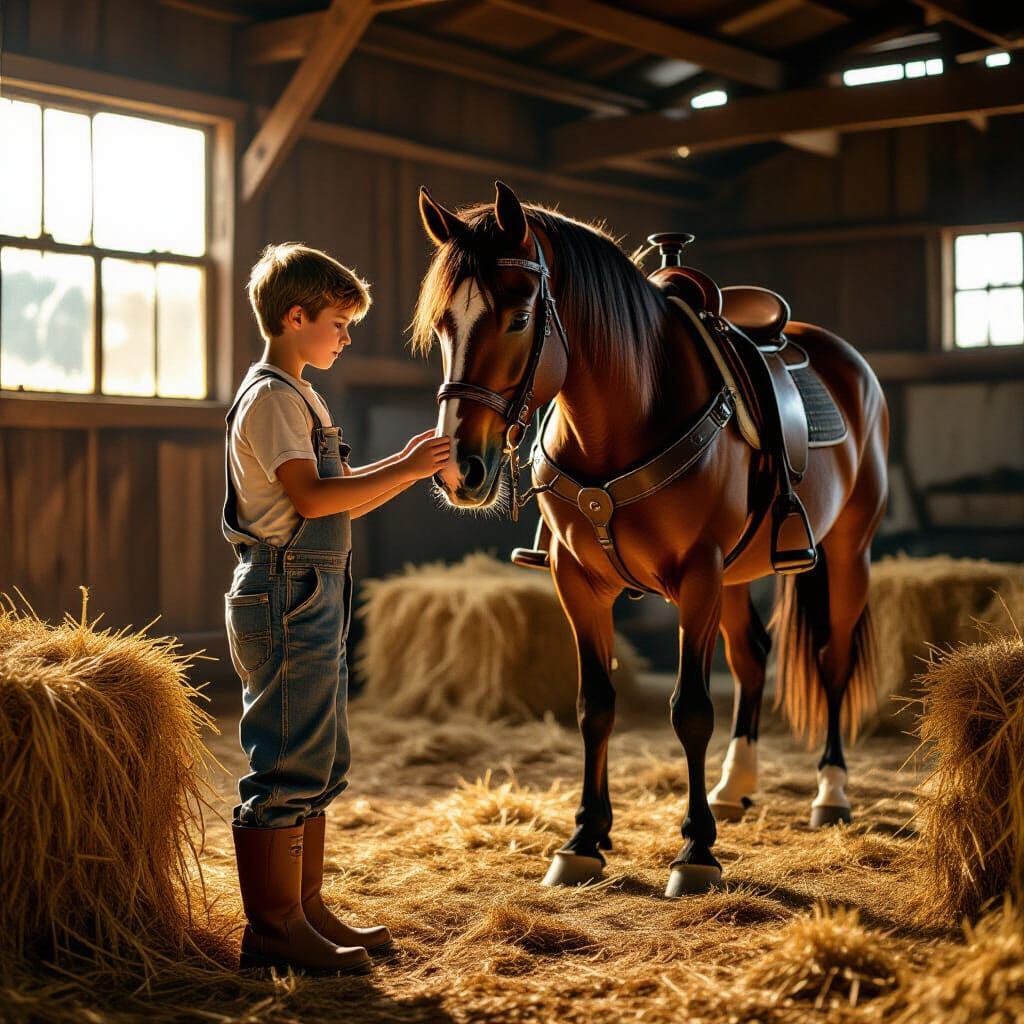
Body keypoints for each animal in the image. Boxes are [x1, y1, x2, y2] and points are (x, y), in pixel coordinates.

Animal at [413, 180, 888, 897]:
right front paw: (585, 838)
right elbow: (596, 705)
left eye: (519, 318)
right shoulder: (579, 583)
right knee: (752, 658)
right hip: (738, 578)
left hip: (843, 553)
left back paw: (830, 792)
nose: (459, 471)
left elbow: (690, 708)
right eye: (443, 325)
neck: (624, 413)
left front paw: (696, 851)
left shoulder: (697, 577)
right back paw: (734, 784)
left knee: (832, 661)